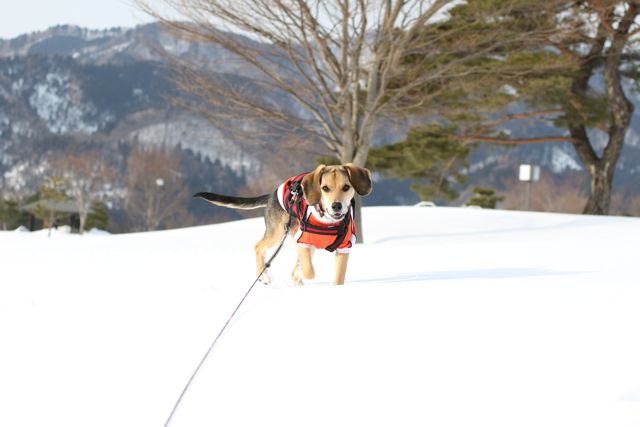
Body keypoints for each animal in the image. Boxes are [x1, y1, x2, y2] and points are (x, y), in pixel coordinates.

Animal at [195, 163, 376, 284]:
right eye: (325, 188)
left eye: (346, 187)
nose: (336, 206)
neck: (328, 221)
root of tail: (272, 195)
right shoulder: (303, 242)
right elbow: (309, 271)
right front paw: (304, 276)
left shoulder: (344, 248)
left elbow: (338, 278)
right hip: (277, 233)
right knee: (258, 247)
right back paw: (264, 276)